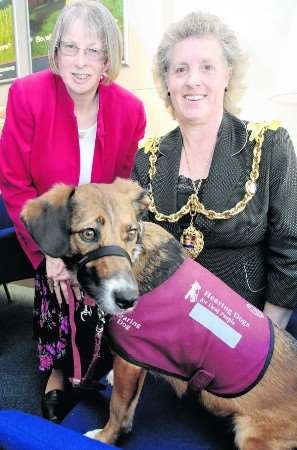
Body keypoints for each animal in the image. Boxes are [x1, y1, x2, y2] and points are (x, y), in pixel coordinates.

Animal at [21, 179, 297, 450]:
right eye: (89, 233)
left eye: (131, 232)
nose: (129, 300)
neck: (134, 258)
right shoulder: (138, 359)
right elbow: (129, 406)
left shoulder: (128, 363)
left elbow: (117, 407)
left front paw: (105, 438)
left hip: (250, 437)